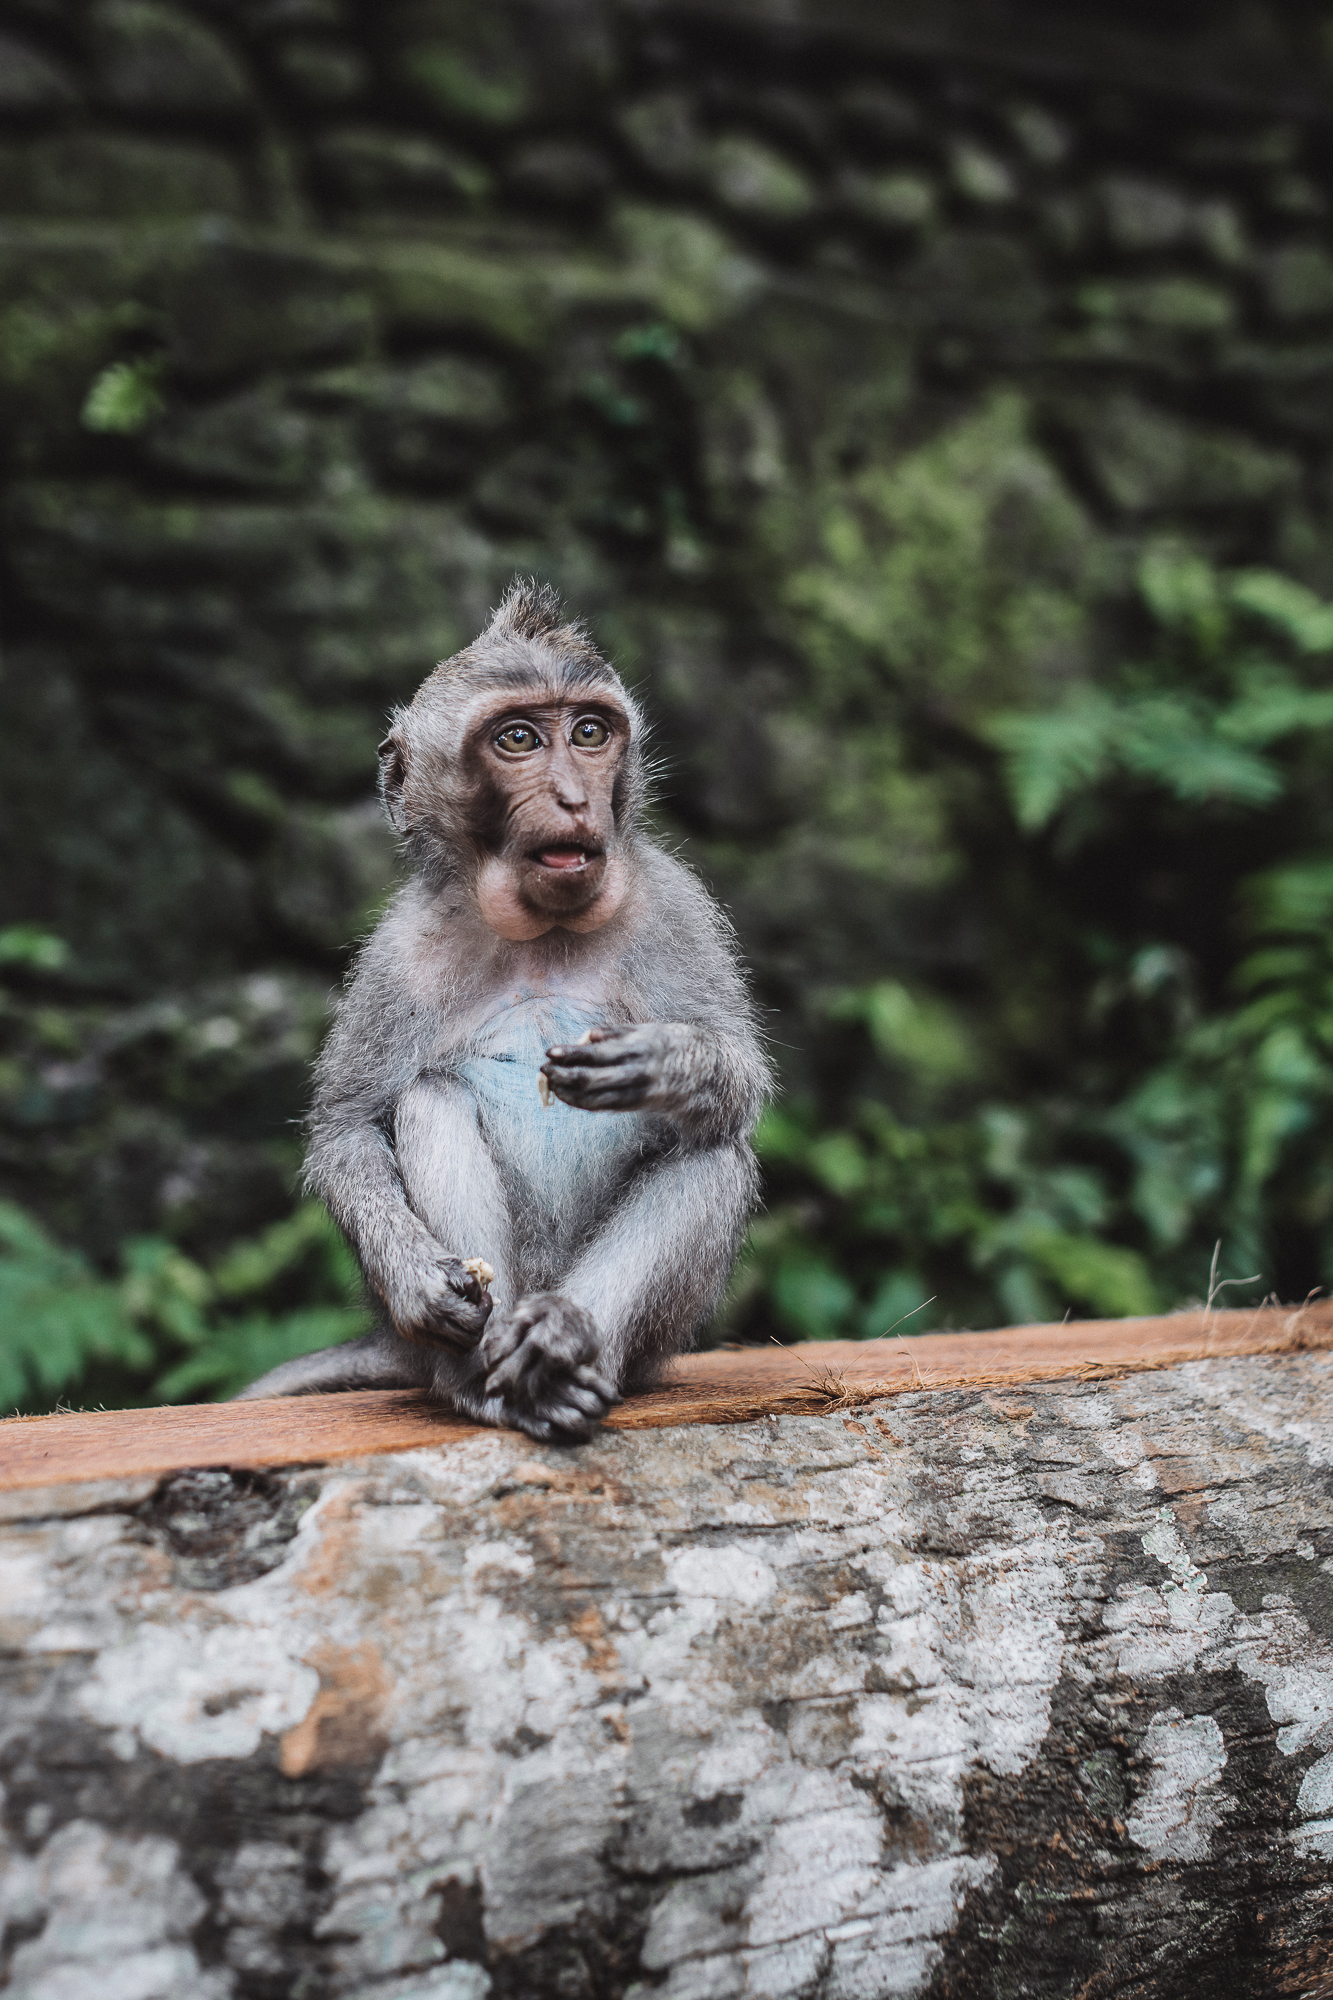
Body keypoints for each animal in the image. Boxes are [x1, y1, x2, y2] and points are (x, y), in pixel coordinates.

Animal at [236, 579, 770, 1443]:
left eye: (588, 732)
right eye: (518, 739)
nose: (573, 797)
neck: (542, 932)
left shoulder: (675, 906)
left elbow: (739, 1086)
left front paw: (662, 1061)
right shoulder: (398, 952)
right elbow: (346, 1130)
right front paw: (418, 1280)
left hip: (649, 1343)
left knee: (710, 1149)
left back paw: (565, 1338)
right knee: (429, 1099)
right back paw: (485, 1382)